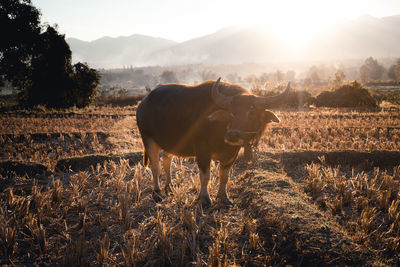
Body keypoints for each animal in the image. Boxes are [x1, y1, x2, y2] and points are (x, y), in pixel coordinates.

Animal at [136, 78, 290, 206]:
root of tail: (143, 102)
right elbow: (205, 176)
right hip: (148, 139)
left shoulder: (231, 155)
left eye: (251, 112)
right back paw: (157, 193)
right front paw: (204, 199)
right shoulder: (202, 152)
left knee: (167, 161)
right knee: (155, 166)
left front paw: (223, 198)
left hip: (171, 143)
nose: (232, 135)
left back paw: (170, 187)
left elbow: (224, 177)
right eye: (231, 113)